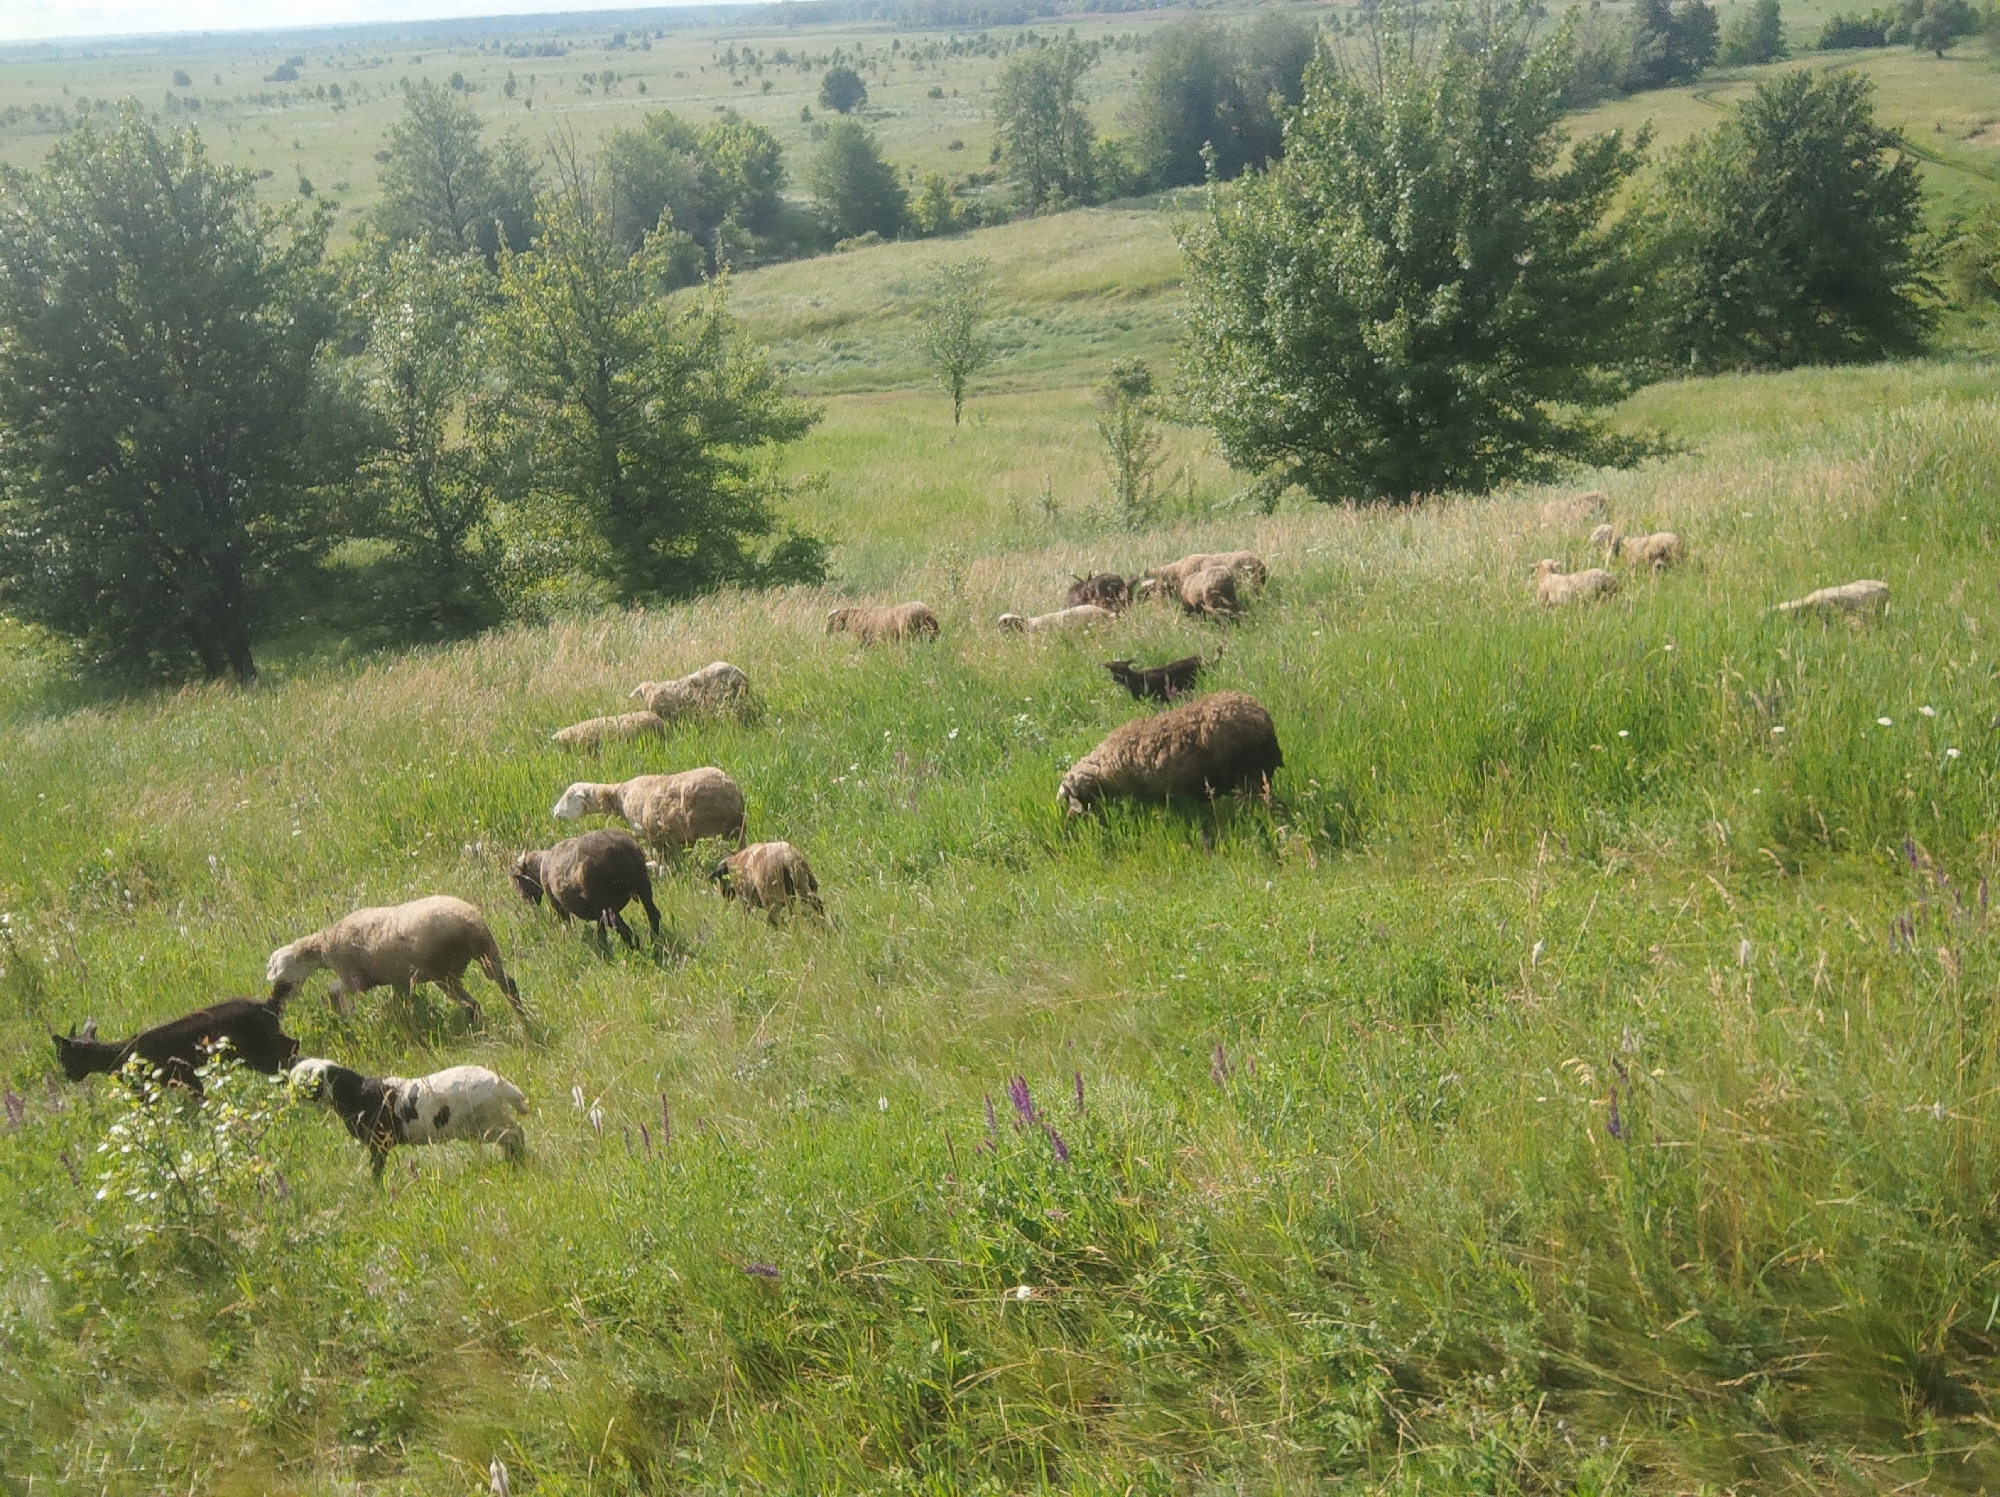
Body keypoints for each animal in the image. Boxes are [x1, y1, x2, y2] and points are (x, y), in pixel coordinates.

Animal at [52, 998, 300, 1095]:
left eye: (62, 1056)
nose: (67, 1075)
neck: (117, 1058)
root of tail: (267, 1006)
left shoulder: (180, 1074)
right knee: (293, 1047)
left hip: (259, 1052)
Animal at [266, 896, 524, 1018]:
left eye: (282, 975)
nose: (276, 1002)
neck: (324, 946)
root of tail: (469, 922)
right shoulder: (397, 979)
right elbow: (401, 1000)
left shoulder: (356, 979)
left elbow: (333, 989)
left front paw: (341, 1012)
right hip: (488, 952)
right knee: (508, 984)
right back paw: (522, 1016)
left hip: (442, 970)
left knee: (471, 1003)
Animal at [291, 1058, 528, 1182]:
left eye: (300, 1080)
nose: (288, 1093)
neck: (357, 1093)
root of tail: (499, 1083)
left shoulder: (379, 1143)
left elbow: (376, 1169)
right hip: (489, 1121)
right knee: (515, 1133)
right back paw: (514, 1161)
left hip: (482, 1123)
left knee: (514, 1134)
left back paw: (517, 1162)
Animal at [511, 829, 661, 948]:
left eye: (519, 882)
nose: (526, 901)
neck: (542, 863)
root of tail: (620, 853)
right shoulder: (598, 915)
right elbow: (601, 933)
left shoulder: (557, 904)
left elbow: (567, 923)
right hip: (642, 884)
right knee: (653, 914)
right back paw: (654, 941)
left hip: (605, 901)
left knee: (624, 929)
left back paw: (636, 948)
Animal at [552, 767, 747, 857]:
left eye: (569, 797)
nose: (554, 812)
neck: (619, 796)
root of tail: (732, 790)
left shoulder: (649, 836)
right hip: (737, 830)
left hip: (713, 830)